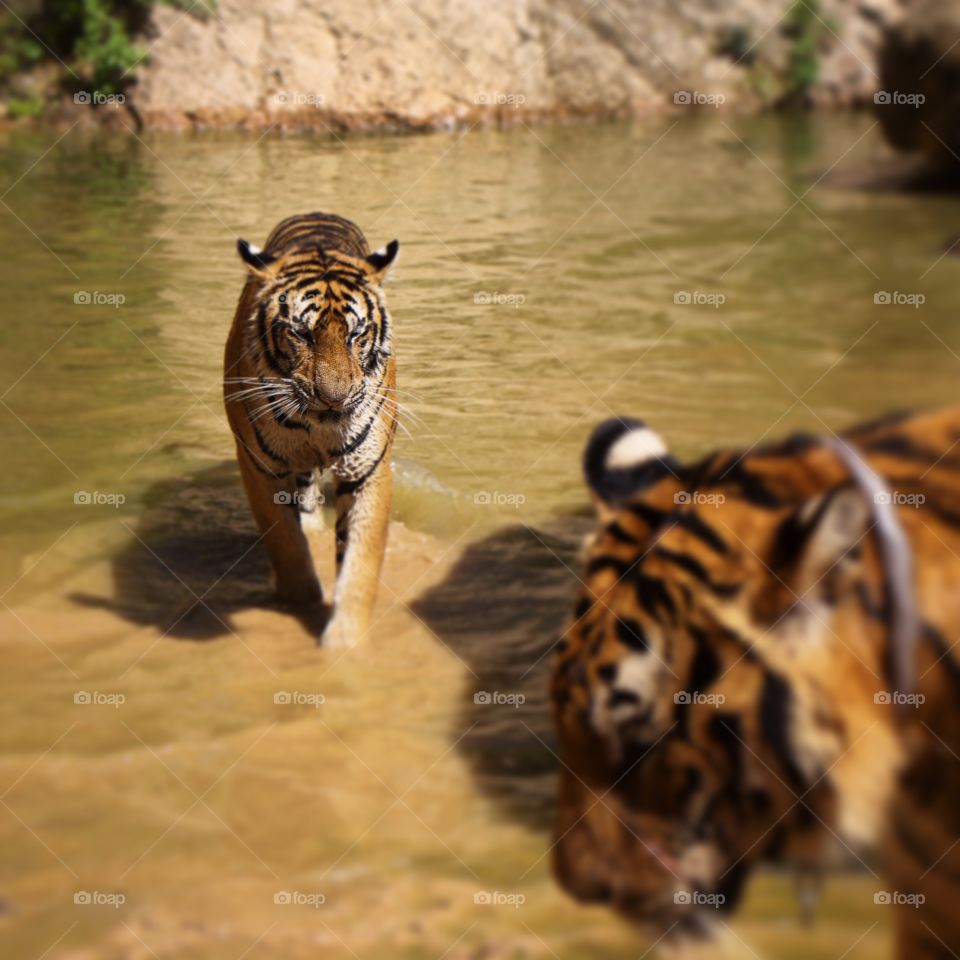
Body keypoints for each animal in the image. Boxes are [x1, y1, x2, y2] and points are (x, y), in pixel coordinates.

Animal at [223, 212, 399, 648]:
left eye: (356, 334)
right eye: (300, 334)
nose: (333, 400)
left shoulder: (368, 469)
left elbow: (360, 560)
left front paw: (345, 644)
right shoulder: (260, 468)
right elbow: (286, 543)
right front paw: (301, 602)